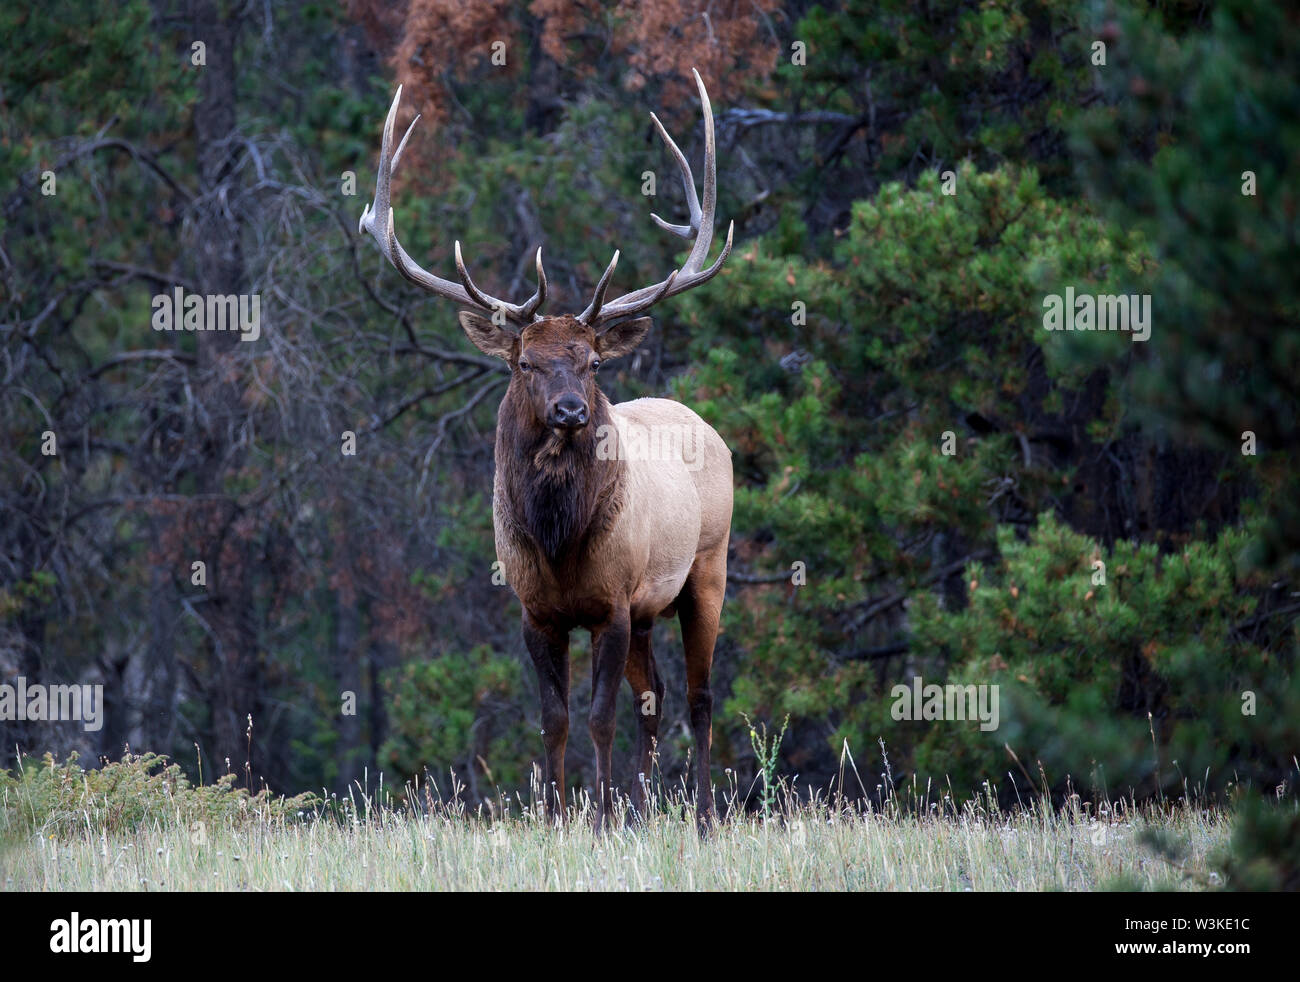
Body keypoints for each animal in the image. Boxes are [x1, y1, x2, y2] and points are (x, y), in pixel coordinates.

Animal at [358, 69, 734, 832]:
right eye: (525, 363)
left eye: (589, 362)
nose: (569, 410)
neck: (559, 538)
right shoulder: (536, 611)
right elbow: (554, 721)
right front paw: (562, 817)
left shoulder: (612, 602)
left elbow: (597, 718)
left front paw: (600, 817)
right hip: (650, 610)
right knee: (656, 700)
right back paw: (647, 810)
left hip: (706, 569)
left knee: (700, 696)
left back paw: (704, 817)